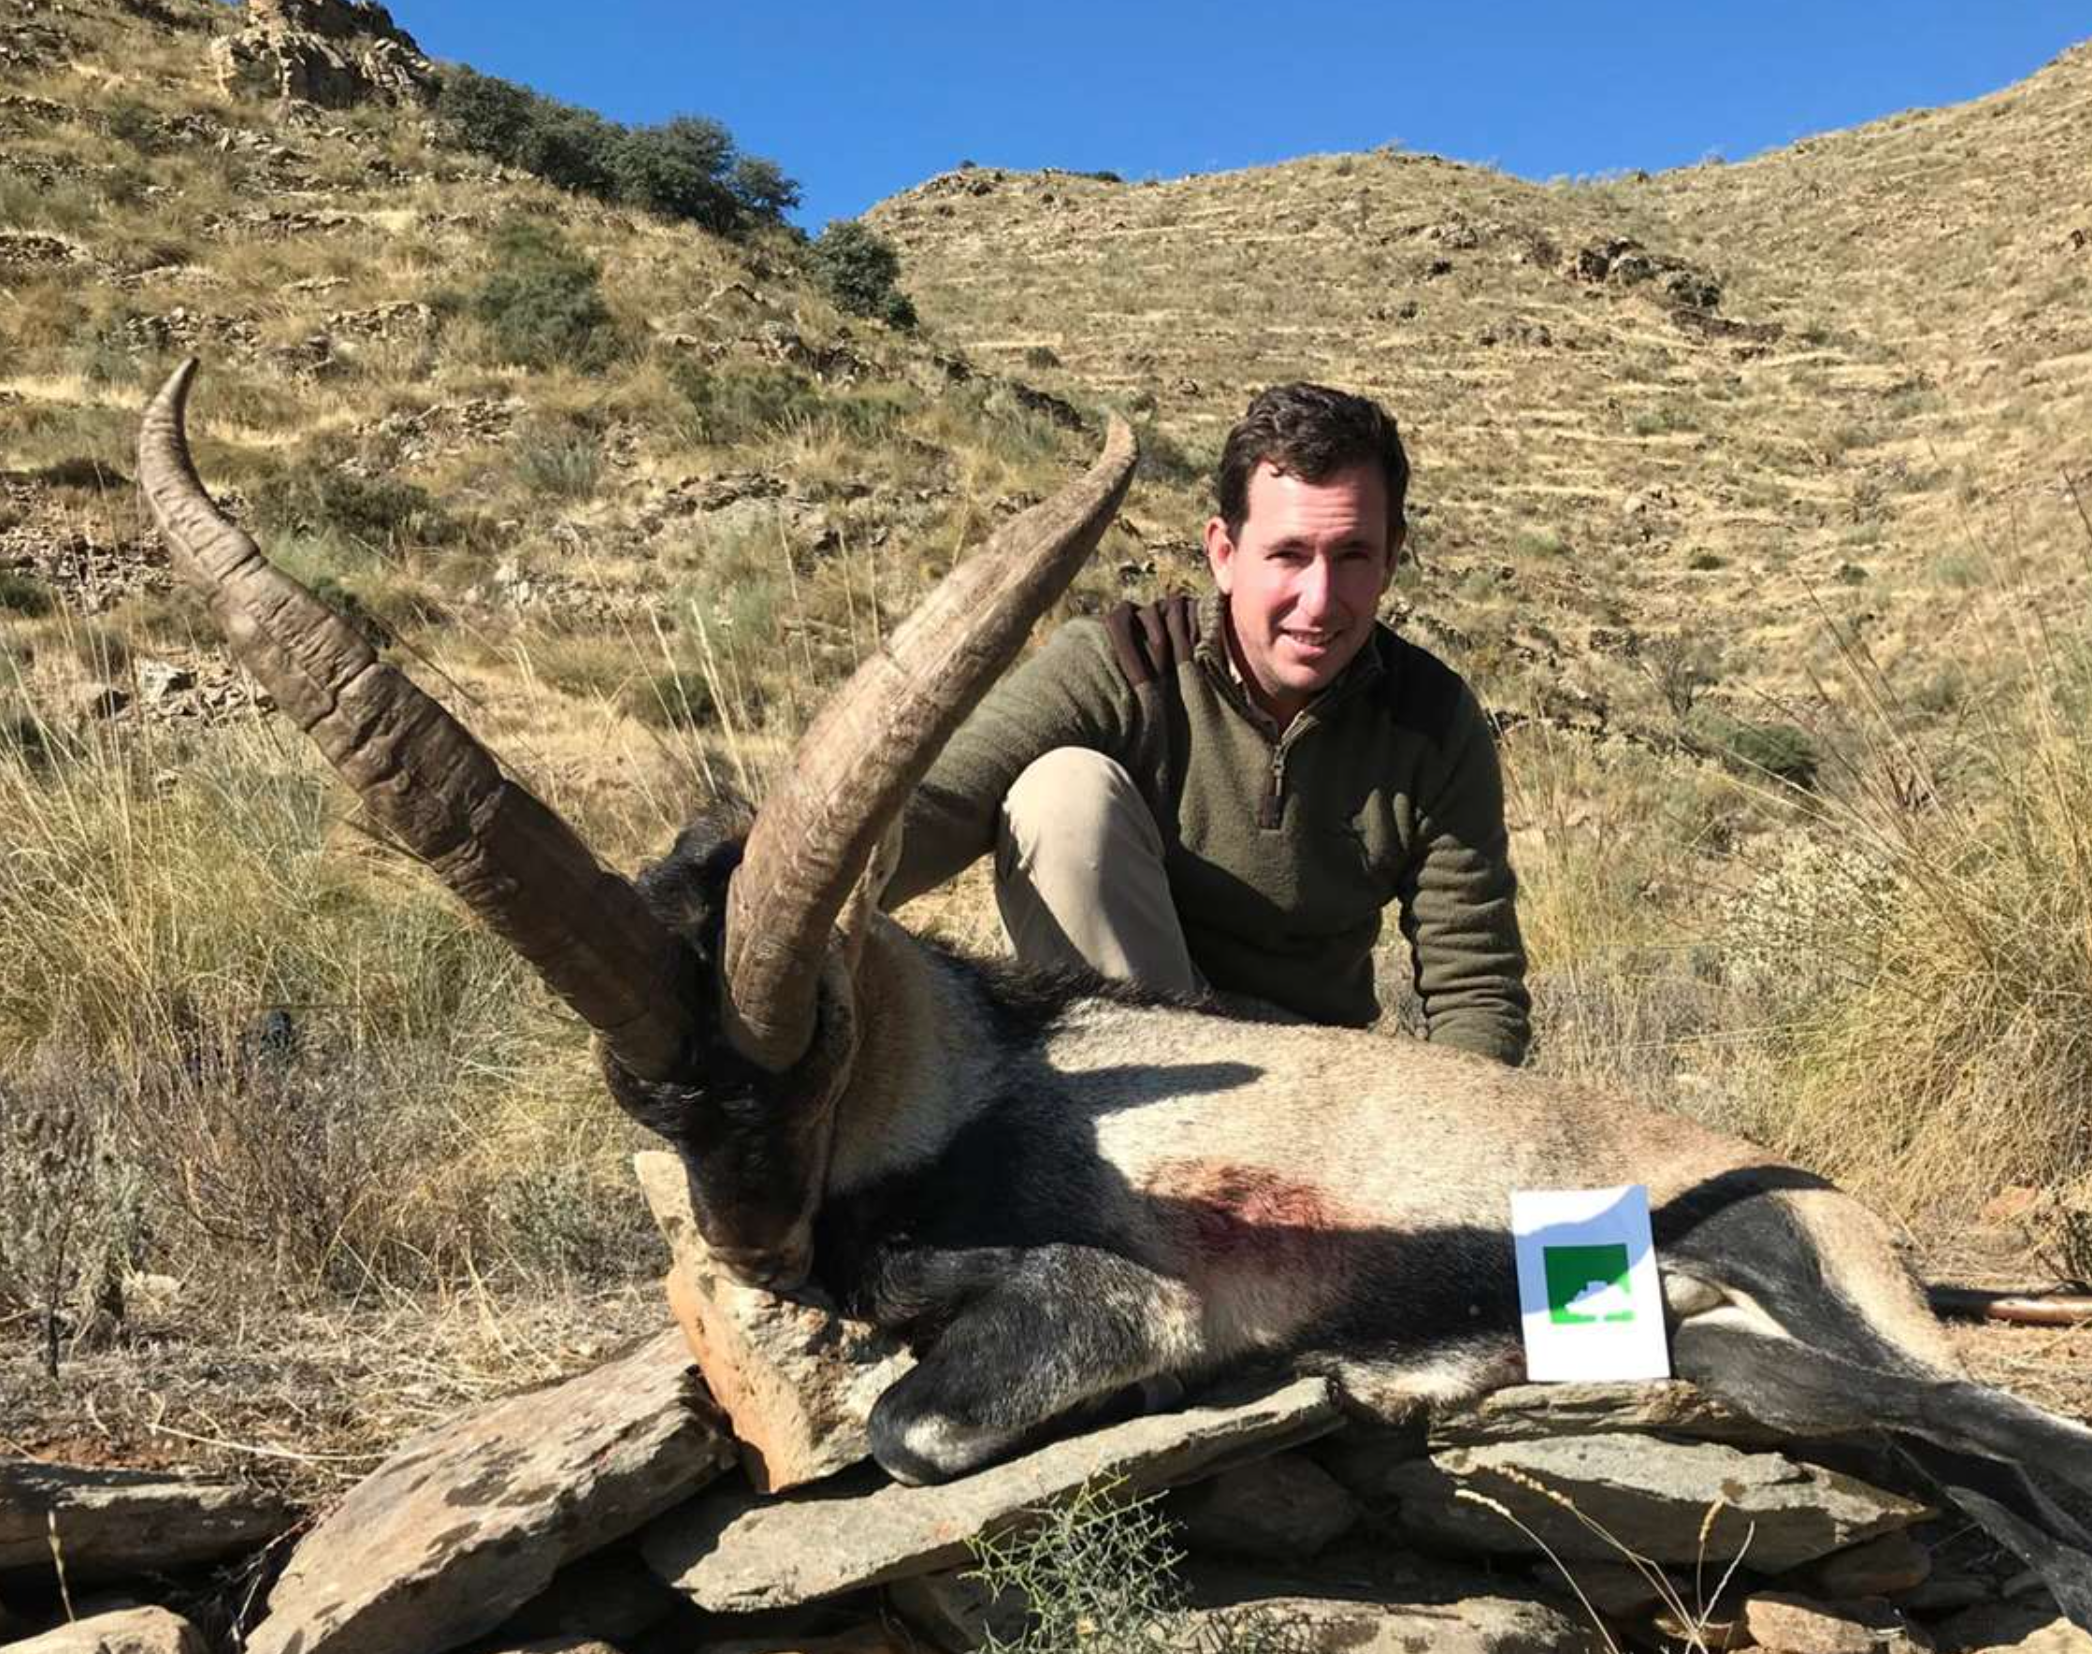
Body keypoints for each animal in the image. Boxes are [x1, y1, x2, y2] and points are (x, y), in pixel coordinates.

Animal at [139, 360, 2092, 1624]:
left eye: (811, 1042)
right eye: (644, 1094)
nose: (760, 1247)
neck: (986, 1074)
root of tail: (1840, 1206)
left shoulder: (1126, 1301)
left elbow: (914, 1417)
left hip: (1805, 1300)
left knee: (2014, 1429)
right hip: (1746, 1357)